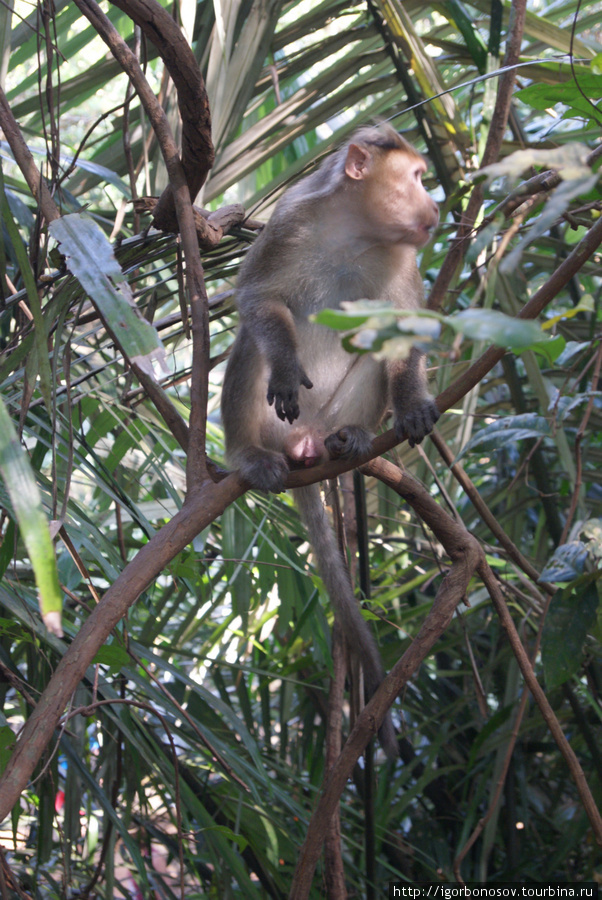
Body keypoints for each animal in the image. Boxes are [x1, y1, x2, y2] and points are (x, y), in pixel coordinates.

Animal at [220, 123, 436, 756]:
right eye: (417, 177)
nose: (436, 207)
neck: (356, 229)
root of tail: (302, 446)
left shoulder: (405, 256)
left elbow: (403, 329)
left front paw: (412, 404)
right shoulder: (290, 221)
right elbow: (257, 299)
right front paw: (289, 365)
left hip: (328, 417)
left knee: (375, 348)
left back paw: (352, 438)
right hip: (275, 426)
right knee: (251, 343)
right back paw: (249, 455)